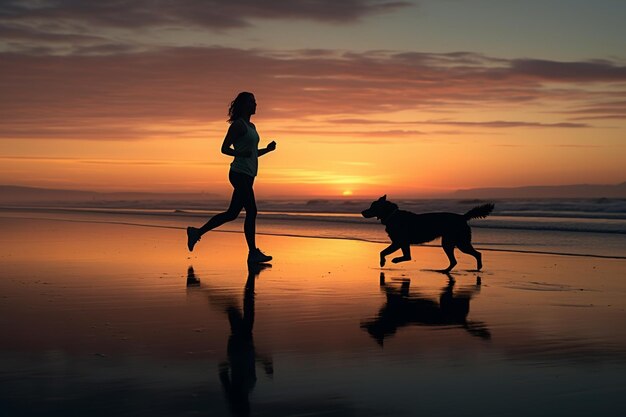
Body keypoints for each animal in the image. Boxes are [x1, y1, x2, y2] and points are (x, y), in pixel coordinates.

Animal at [360, 196, 492, 272]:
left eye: (373, 206)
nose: (362, 212)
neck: (392, 215)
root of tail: (462, 217)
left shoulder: (398, 242)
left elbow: (383, 252)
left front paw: (387, 261)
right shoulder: (402, 243)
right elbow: (406, 256)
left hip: (460, 243)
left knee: (477, 254)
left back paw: (478, 268)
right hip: (449, 243)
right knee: (455, 261)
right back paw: (445, 271)